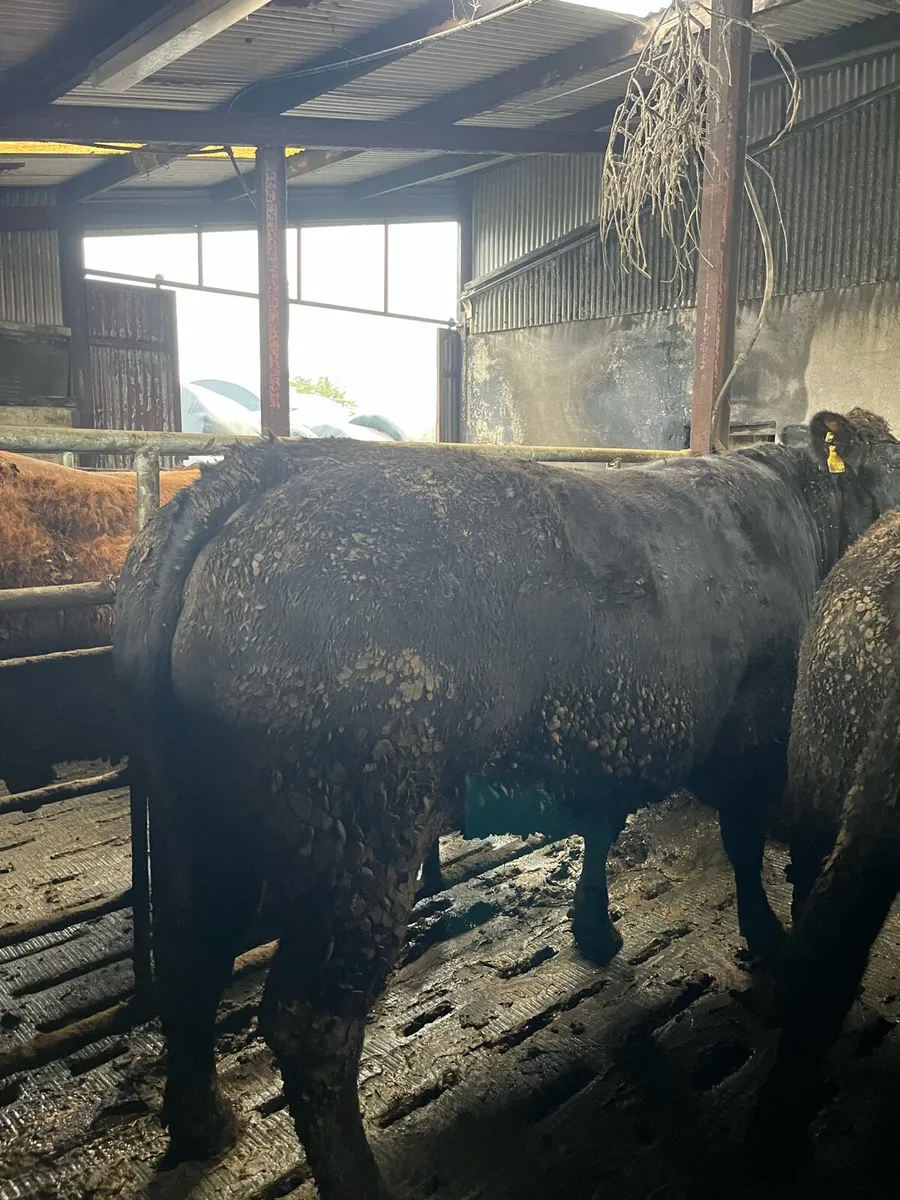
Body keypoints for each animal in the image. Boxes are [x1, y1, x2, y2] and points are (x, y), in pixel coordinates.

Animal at [114, 409, 900, 1200]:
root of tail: (257, 473)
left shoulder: (610, 737)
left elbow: (604, 828)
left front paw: (595, 927)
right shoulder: (757, 727)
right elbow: (742, 841)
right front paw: (766, 934)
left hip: (194, 819)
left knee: (191, 956)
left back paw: (203, 1123)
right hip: (361, 837)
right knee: (310, 1022)